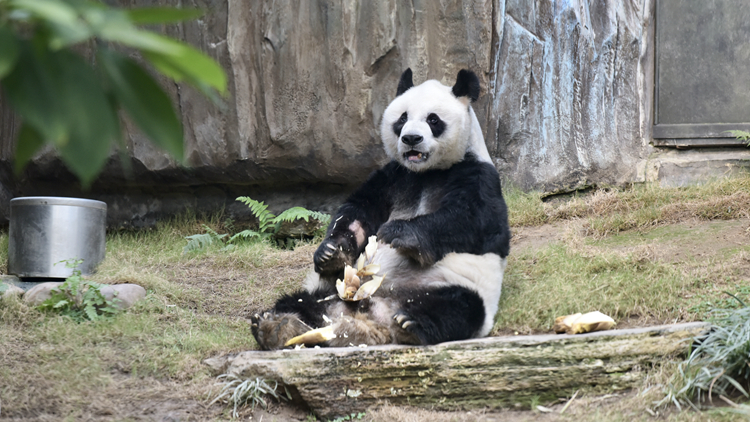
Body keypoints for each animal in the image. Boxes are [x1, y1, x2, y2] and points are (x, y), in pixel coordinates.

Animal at [251, 68, 512, 350]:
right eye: (402, 118)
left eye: (433, 119)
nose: (411, 138)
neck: (426, 173)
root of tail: (376, 318)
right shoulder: (392, 177)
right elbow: (357, 213)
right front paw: (331, 254)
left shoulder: (477, 174)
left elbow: (476, 221)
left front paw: (399, 233)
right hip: (328, 292)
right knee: (299, 301)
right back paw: (276, 326)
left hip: (451, 285)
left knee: (459, 307)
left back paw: (412, 324)